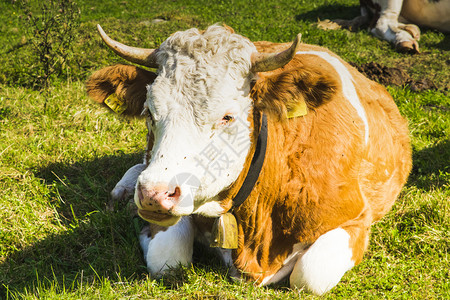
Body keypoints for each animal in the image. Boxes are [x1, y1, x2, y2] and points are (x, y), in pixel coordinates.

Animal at [84, 24, 412, 296]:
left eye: (227, 117)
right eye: (149, 112)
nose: (153, 194)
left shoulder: (356, 219)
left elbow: (309, 276)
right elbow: (167, 259)